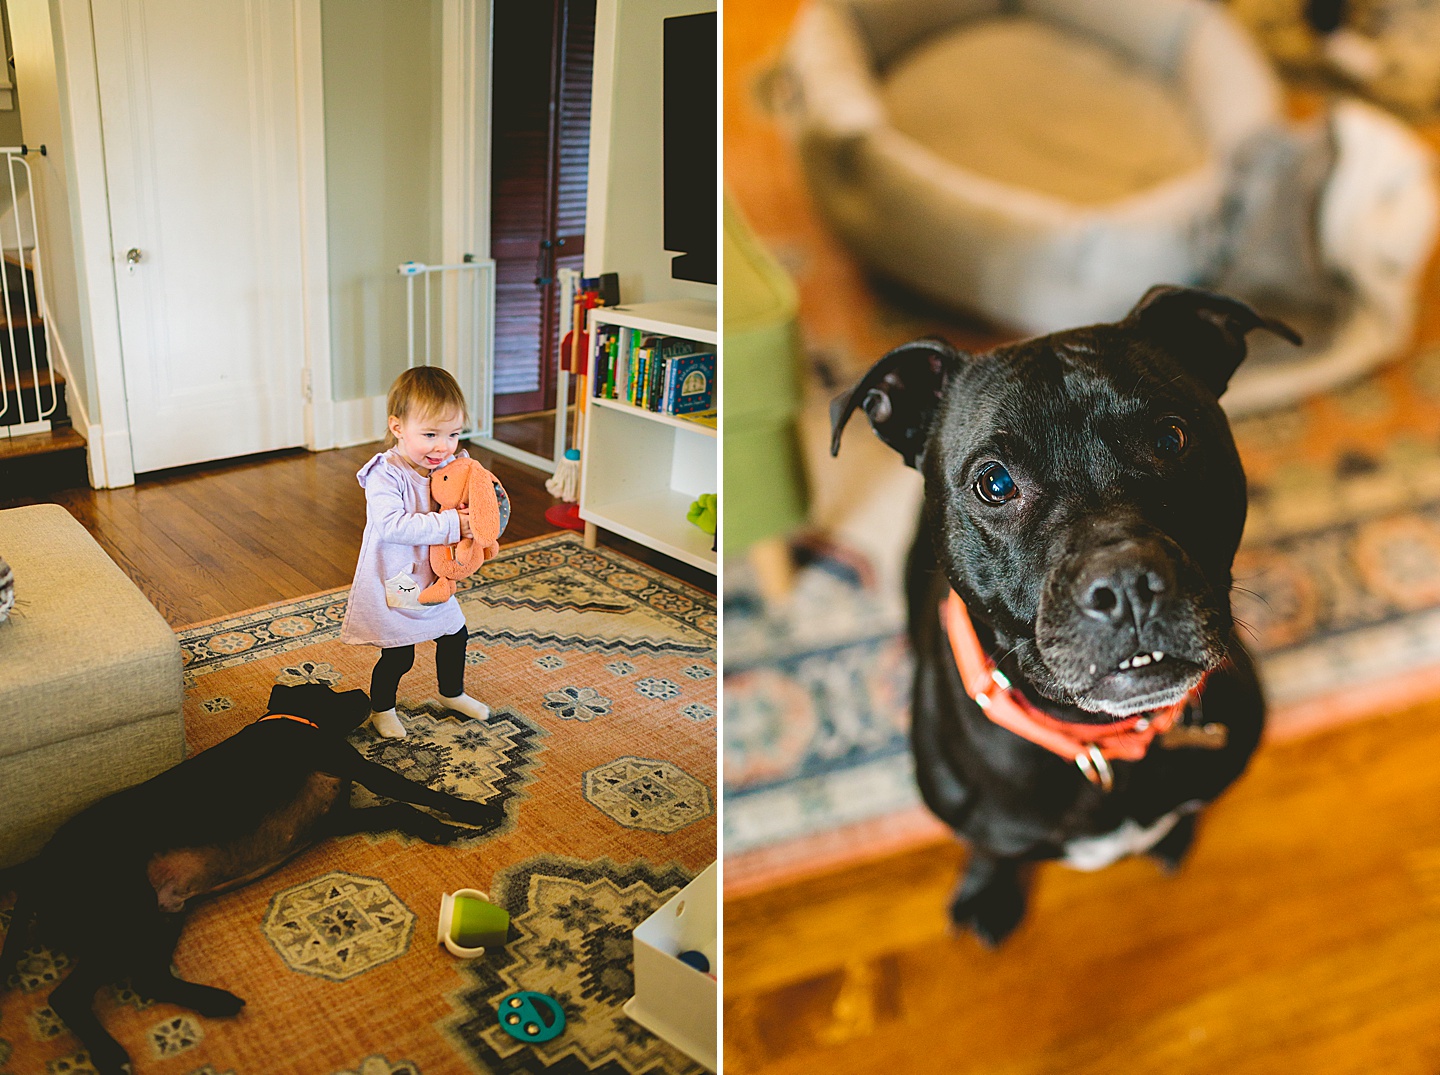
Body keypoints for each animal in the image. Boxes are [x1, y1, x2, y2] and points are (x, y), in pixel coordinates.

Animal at [0, 685, 504, 1070]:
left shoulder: (334, 820)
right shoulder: (354, 768)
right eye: (328, 692)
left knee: (148, 980)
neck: (292, 719)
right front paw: (473, 811)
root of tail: (37, 872)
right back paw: (109, 1053)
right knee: (68, 997)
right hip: (125, 911)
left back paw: (215, 1002)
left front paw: (434, 827)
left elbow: (398, 810)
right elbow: (412, 791)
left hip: (163, 912)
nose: (363, 692)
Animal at [829, 287, 1301, 949]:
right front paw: (988, 891)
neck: (1101, 743)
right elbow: (990, 849)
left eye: (1172, 438)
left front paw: (1173, 833)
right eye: (995, 483)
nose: (1127, 583)